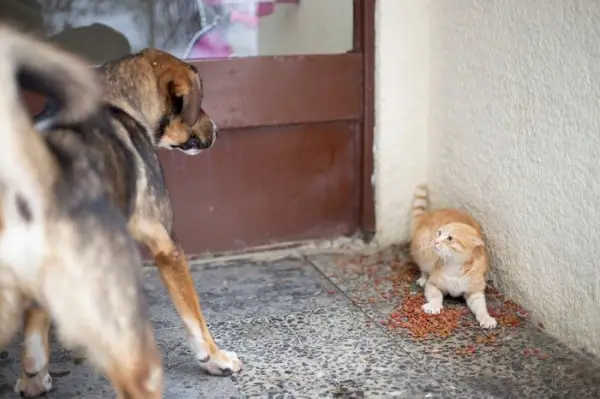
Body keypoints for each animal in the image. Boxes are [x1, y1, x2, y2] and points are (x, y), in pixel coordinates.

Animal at [15, 42, 240, 396]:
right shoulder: (168, 246)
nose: (216, 130)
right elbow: (194, 316)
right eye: (198, 103)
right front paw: (215, 358)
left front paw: (33, 376)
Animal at [408, 184, 496, 328]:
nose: (435, 241)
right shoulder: (433, 284)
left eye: (449, 238)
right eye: (438, 233)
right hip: (422, 248)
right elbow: (436, 296)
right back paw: (423, 277)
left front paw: (486, 318)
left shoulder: (474, 292)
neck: (455, 268)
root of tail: (425, 217)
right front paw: (433, 306)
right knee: (423, 267)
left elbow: (481, 307)